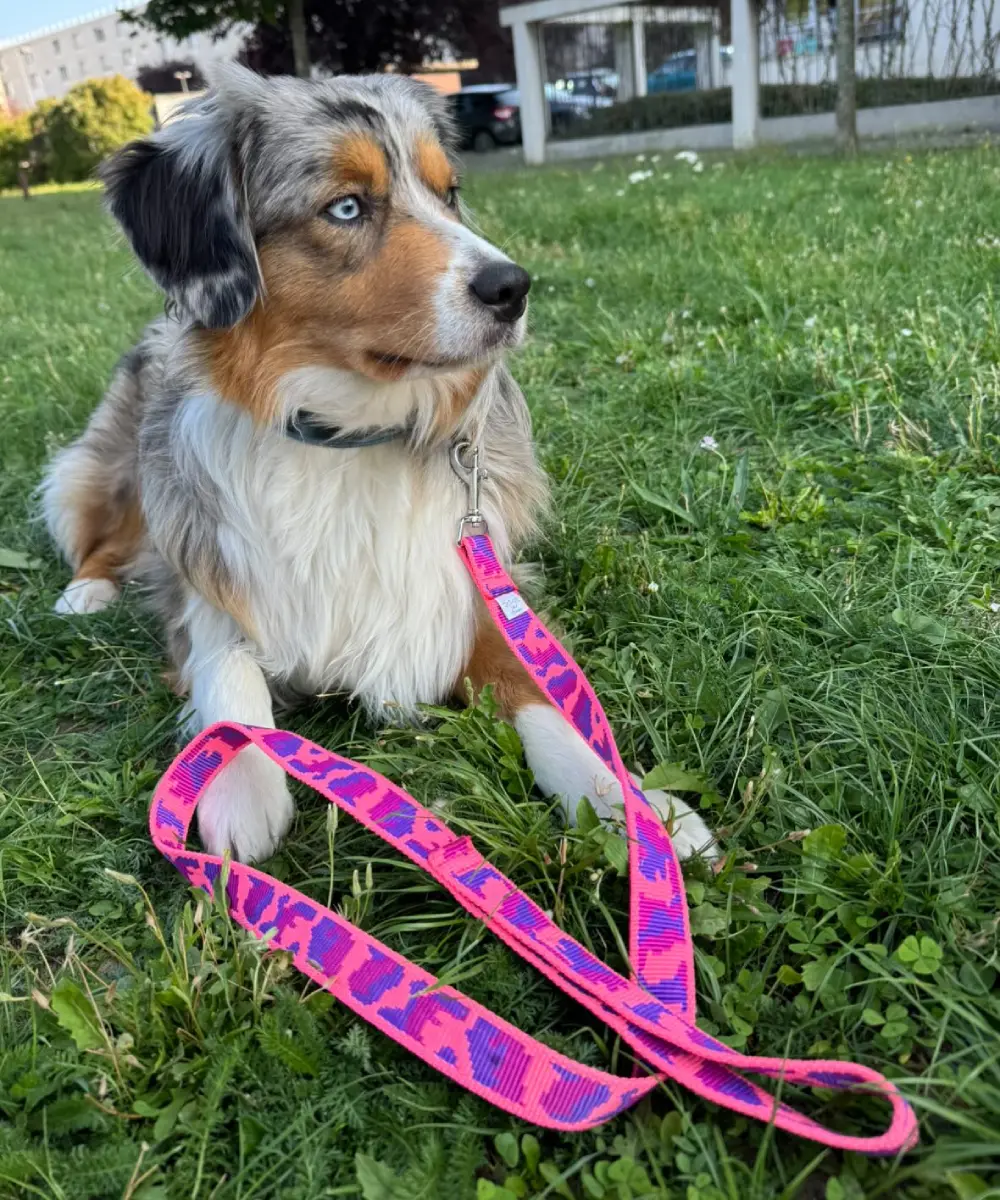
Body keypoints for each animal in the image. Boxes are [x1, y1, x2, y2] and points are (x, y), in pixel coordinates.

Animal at [43, 64, 717, 866]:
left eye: (449, 192)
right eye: (345, 207)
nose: (513, 287)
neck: (349, 435)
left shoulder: (474, 586)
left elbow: (542, 695)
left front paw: (632, 806)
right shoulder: (215, 575)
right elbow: (225, 665)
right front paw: (239, 782)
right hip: (125, 472)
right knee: (104, 535)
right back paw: (85, 592)